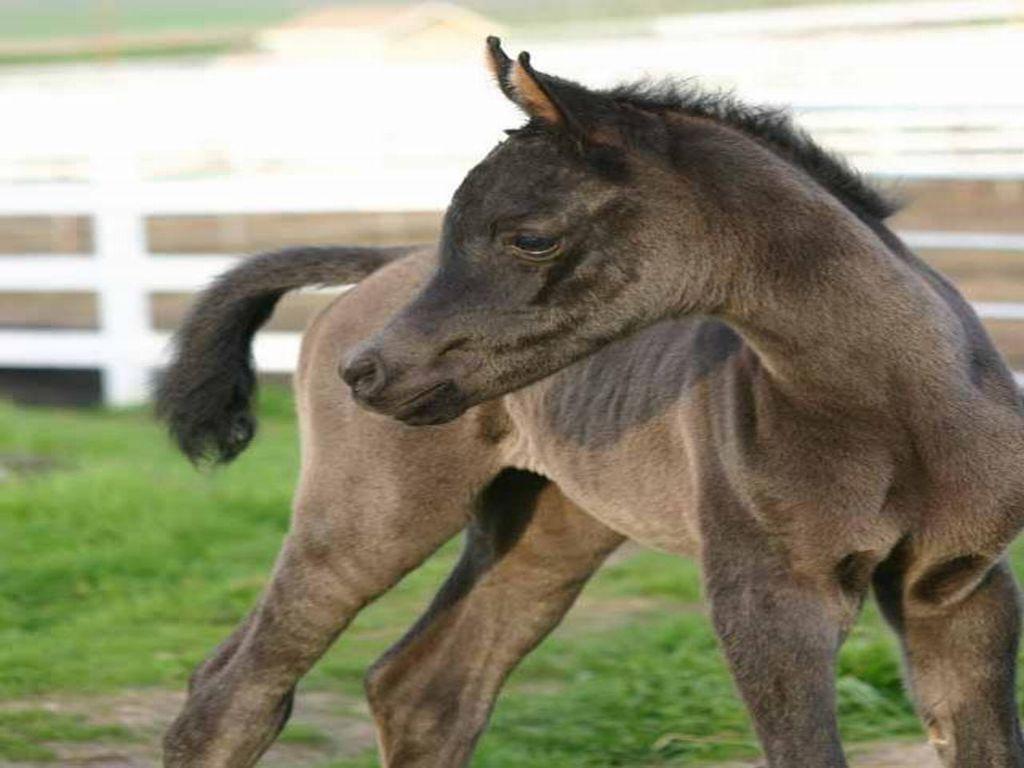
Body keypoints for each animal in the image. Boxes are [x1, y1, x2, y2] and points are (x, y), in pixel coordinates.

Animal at [157, 37, 1024, 767]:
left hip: (548, 527)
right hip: (367, 517)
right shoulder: (770, 595)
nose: (368, 372)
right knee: (234, 696)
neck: (898, 415)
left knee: (422, 691)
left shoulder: (957, 586)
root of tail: (376, 269)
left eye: (531, 237)